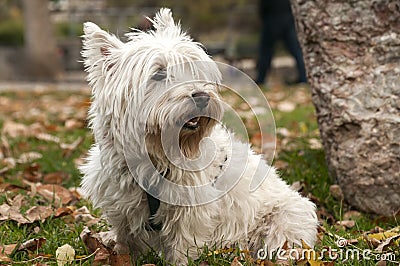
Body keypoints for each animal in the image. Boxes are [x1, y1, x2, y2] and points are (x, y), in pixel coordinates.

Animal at [80, 7, 318, 264]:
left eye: (192, 70)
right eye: (158, 74)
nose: (202, 96)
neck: (154, 156)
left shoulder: (189, 212)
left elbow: (182, 247)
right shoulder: (121, 207)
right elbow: (127, 242)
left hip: (285, 218)